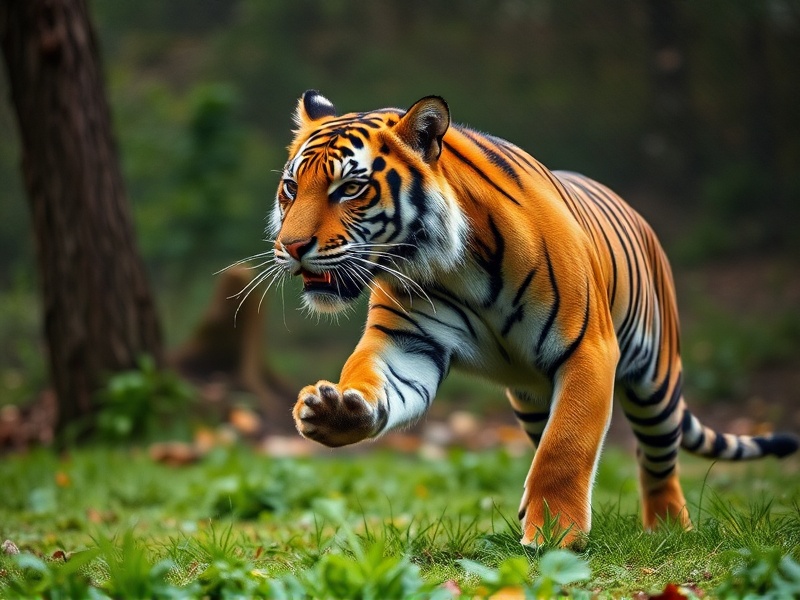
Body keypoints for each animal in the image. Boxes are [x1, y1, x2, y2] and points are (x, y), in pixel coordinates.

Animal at [267, 90, 799, 547]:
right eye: (291, 188)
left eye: (351, 188)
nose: (290, 246)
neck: (452, 263)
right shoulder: (406, 342)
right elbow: (374, 379)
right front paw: (336, 412)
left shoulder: (589, 350)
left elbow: (566, 448)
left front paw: (555, 538)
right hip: (530, 397)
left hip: (657, 384)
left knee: (657, 461)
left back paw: (669, 529)